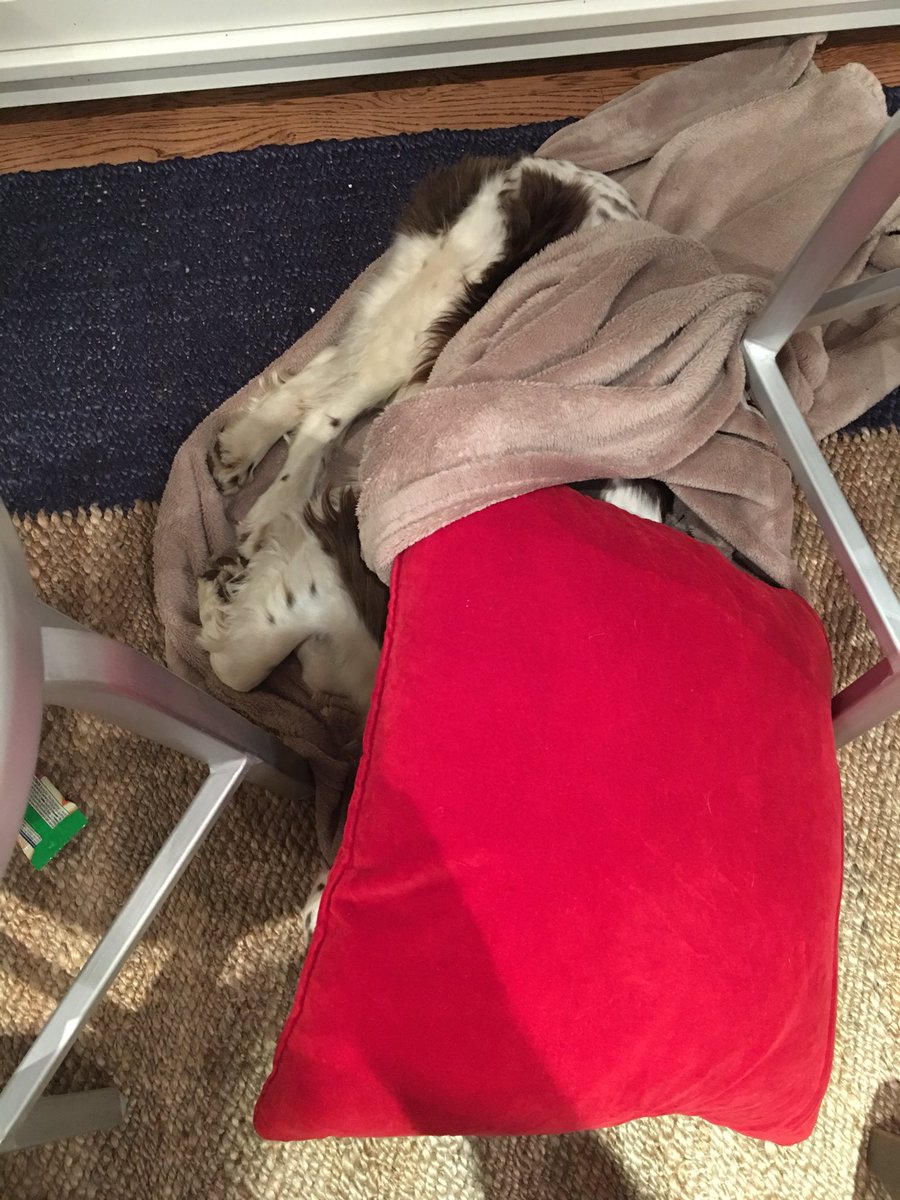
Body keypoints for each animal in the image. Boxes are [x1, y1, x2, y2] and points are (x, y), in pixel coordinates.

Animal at [197, 153, 671, 938]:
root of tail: (546, 166)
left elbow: (244, 657)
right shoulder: (334, 567)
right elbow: (239, 664)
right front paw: (222, 590)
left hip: (416, 313)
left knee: (321, 381)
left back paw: (242, 449)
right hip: (437, 306)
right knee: (328, 405)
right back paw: (266, 496)